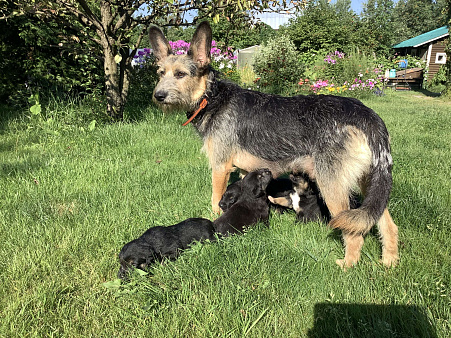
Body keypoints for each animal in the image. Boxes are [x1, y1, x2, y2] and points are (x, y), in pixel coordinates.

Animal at [147, 21, 400, 270]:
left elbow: (215, 201)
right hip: (370, 183)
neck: (212, 97)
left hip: (332, 186)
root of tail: (367, 115)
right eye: (160, 73)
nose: (158, 96)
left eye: (181, 74)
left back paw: (347, 265)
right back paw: (389, 261)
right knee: (385, 223)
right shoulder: (245, 172)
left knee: (354, 233)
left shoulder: (220, 167)